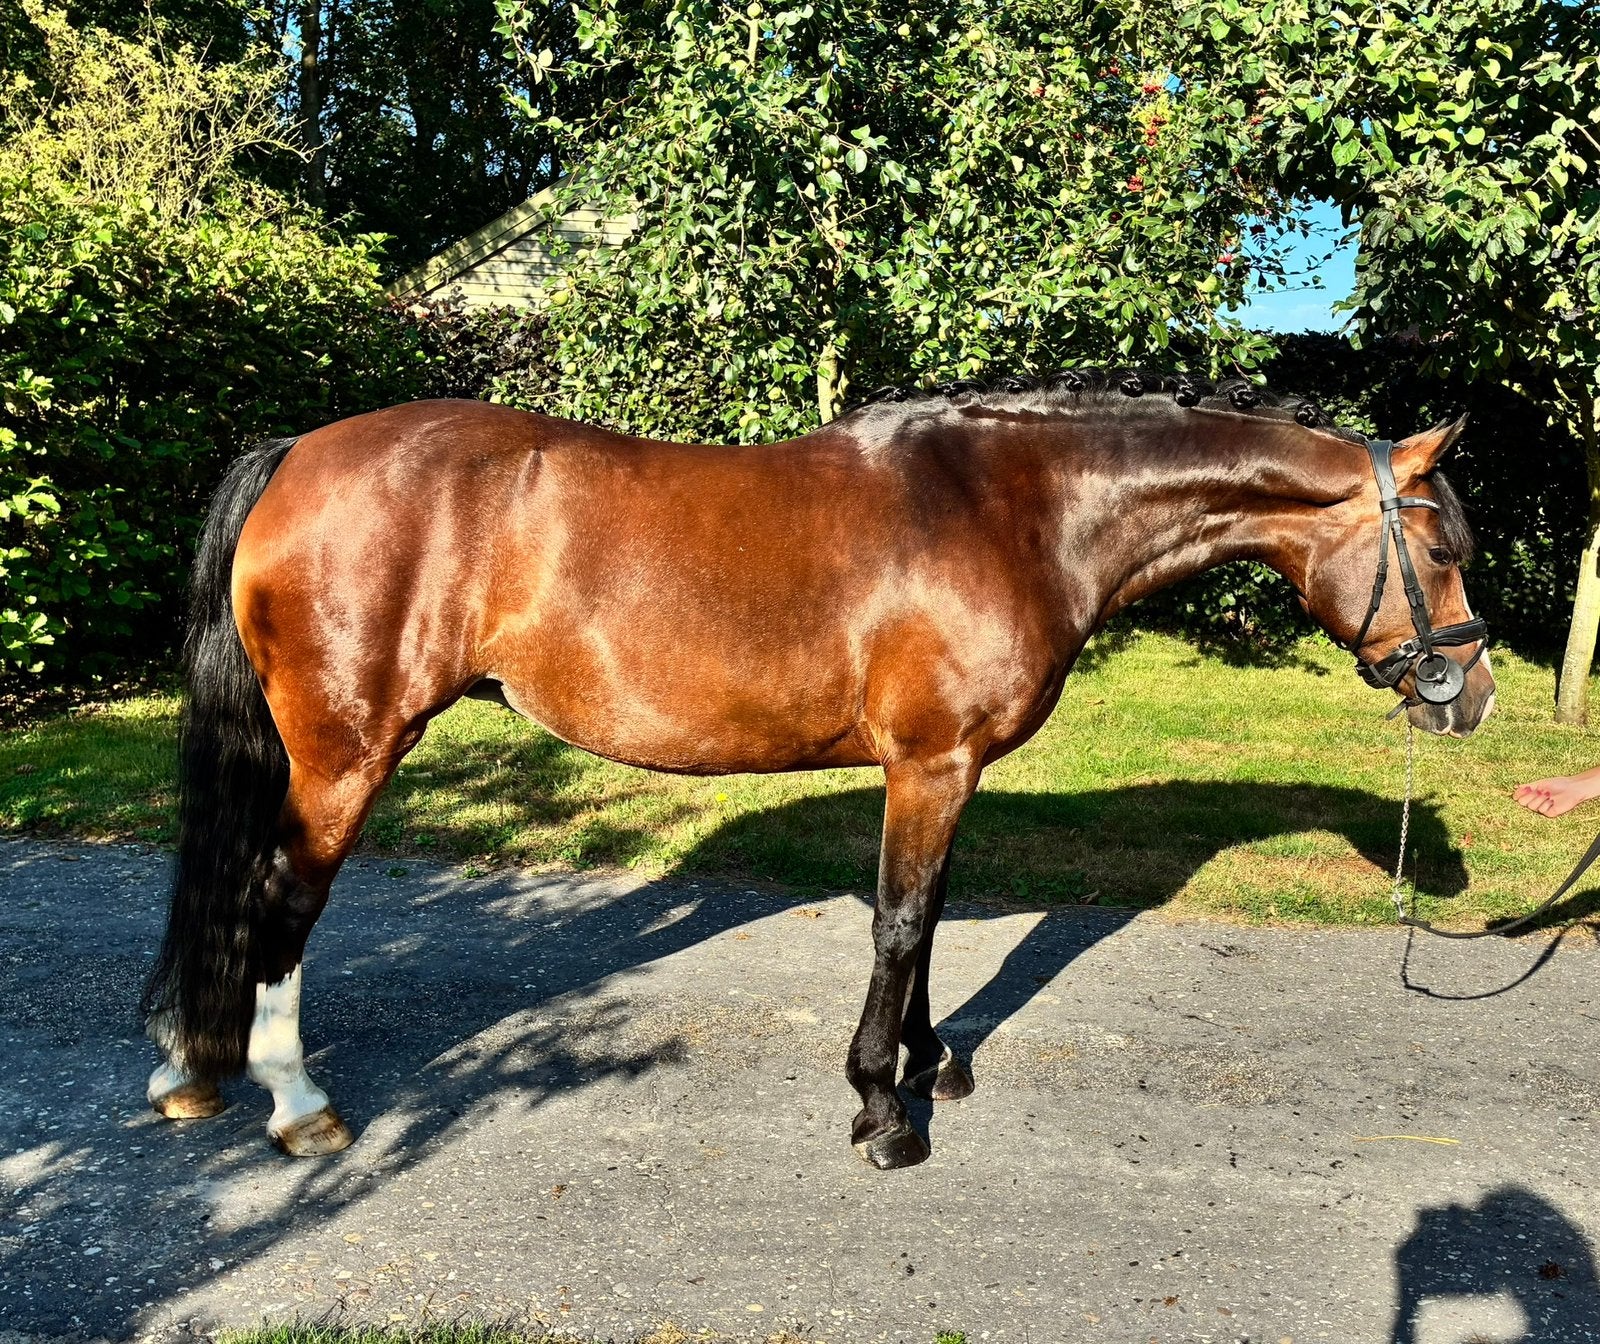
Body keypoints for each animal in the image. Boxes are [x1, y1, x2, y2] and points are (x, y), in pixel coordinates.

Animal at [139, 369, 1494, 1171]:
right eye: (1438, 547)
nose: (1469, 694)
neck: (1015, 506)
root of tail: (299, 453)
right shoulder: (931, 764)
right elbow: (898, 922)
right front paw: (882, 1110)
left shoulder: (944, 768)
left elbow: (930, 920)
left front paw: (928, 1063)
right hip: (348, 753)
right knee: (281, 900)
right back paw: (294, 1102)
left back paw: (190, 1069)